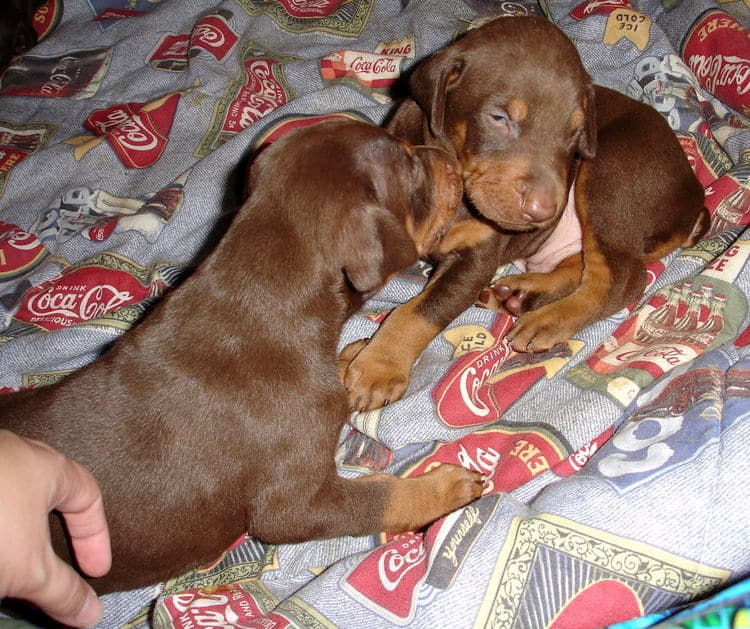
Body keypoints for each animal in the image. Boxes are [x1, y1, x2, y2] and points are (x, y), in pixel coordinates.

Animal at [0, 120, 482, 596]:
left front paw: (354, 358)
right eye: (411, 163)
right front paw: (445, 486)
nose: (452, 159)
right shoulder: (297, 506)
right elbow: (376, 498)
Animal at [340, 15, 712, 412]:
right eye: (499, 118)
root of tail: (694, 198)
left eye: (575, 133)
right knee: (582, 264)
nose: (545, 210)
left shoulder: (476, 257)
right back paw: (521, 293)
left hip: (609, 173)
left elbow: (419, 311)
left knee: (623, 277)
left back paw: (547, 319)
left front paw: (378, 366)